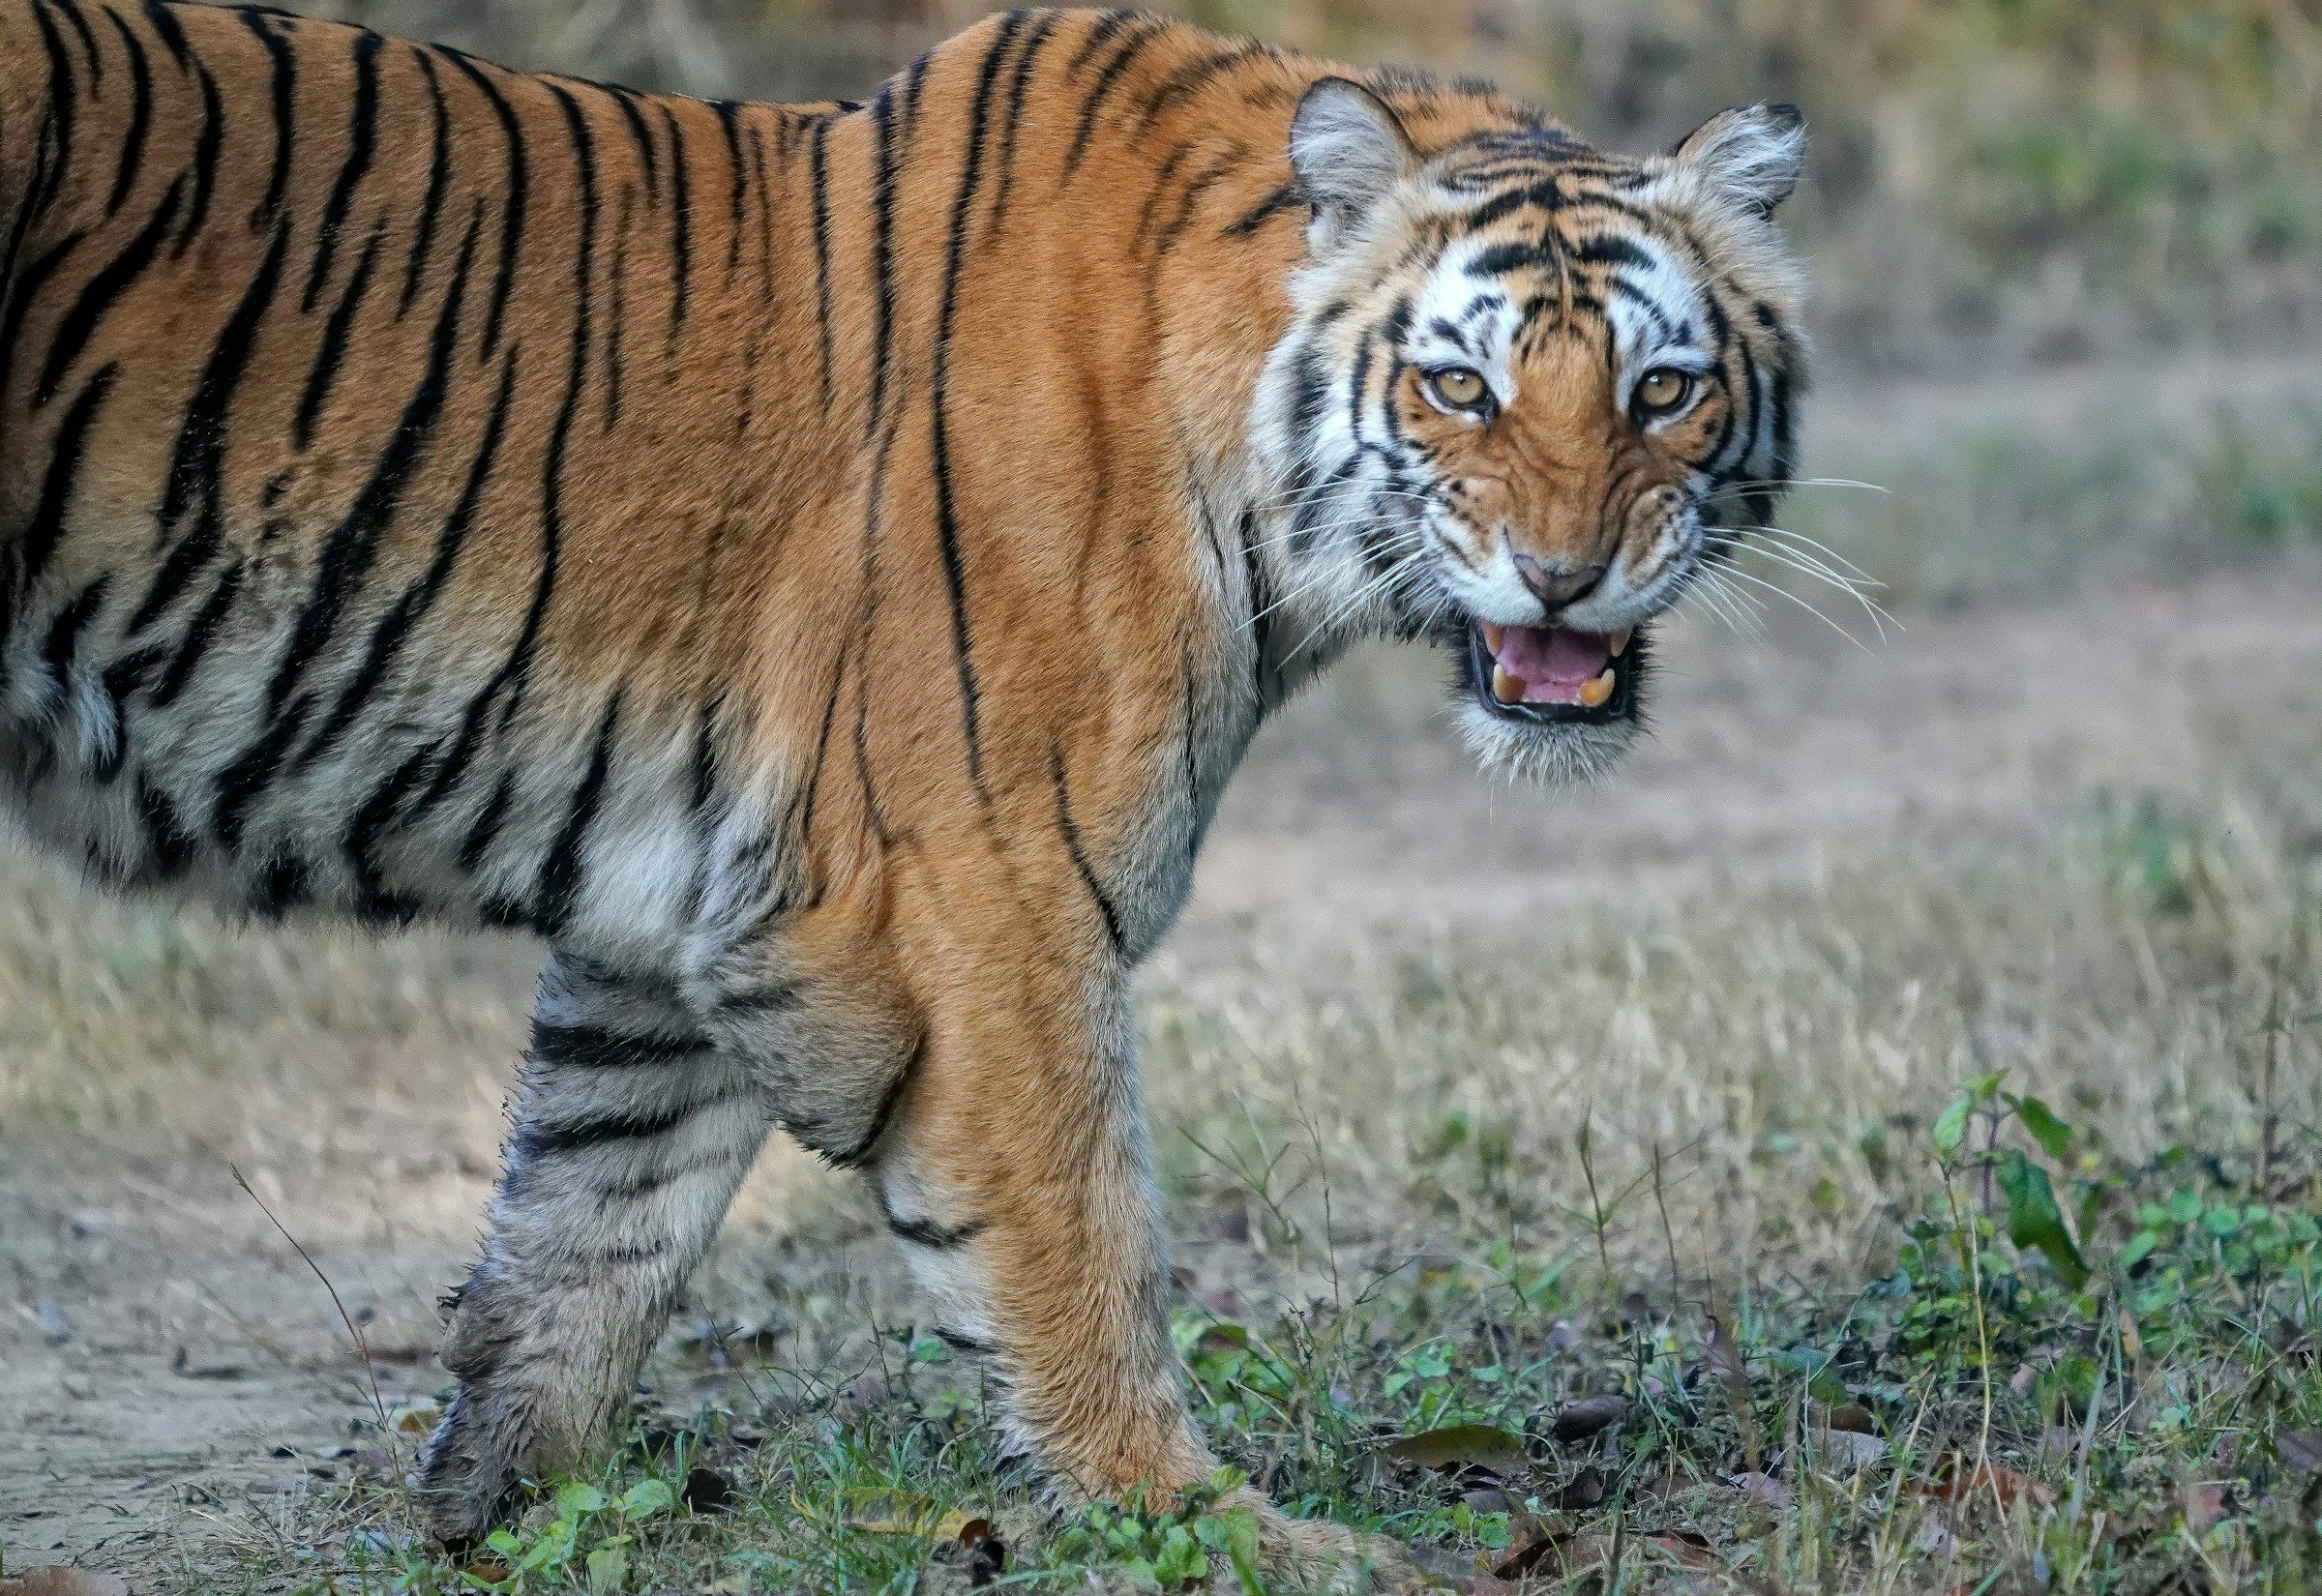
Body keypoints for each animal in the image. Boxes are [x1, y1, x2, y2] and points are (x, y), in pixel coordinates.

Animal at [0, 0, 1807, 1574]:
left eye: (1661, 388)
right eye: (1460, 387)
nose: (1565, 577)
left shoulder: (693, 908)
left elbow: (589, 1217)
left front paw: (493, 1517)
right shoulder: (976, 890)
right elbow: (1079, 1239)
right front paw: (1214, 1529)